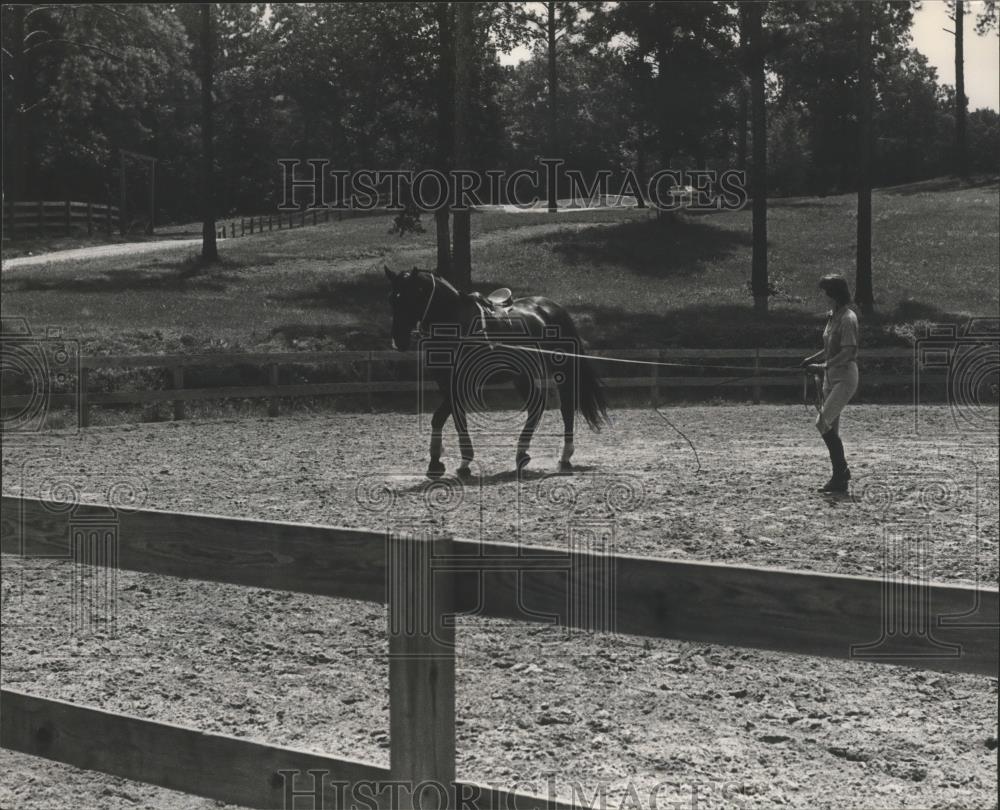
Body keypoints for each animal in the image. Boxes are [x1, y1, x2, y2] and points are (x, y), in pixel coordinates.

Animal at [382, 266, 604, 480]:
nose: (397, 341)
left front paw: (440, 463)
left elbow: (439, 417)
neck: (456, 325)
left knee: (566, 407)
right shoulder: (446, 384)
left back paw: (564, 457)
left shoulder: (461, 384)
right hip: (522, 375)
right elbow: (455, 419)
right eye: (392, 298)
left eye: (412, 297)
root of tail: (553, 307)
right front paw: (456, 463)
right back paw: (521, 454)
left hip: (562, 371)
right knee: (536, 406)